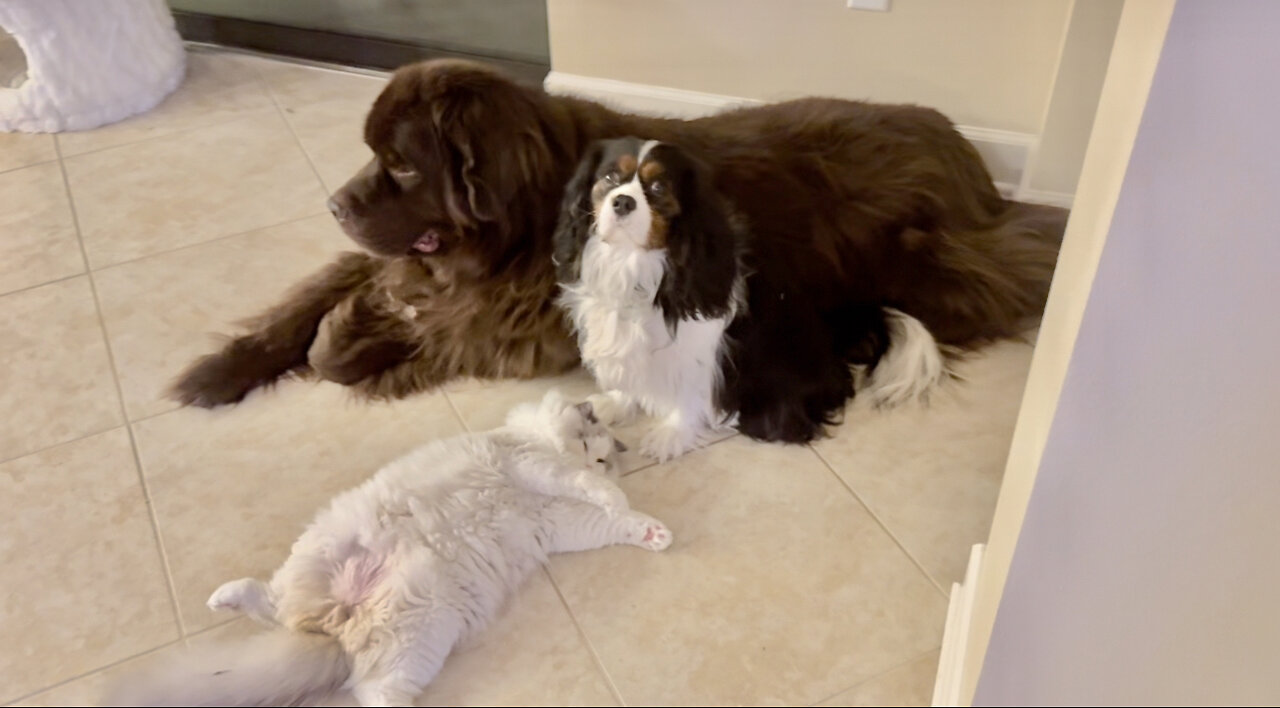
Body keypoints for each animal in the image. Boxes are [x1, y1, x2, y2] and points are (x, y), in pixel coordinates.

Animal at [107, 389, 670, 701]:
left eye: (605, 454)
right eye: (590, 443)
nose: (600, 458)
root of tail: (338, 629)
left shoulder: (557, 522)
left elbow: (610, 521)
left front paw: (653, 531)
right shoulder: (533, 464)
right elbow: (581, 486)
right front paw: (613, 493)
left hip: (418, 633)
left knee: (330, 656)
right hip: (339, 566)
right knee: (282, 615)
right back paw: (223, 598)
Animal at [172, 60, 1070, 412]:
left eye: (400, 165)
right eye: (371, 156)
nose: (334, 204)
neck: (510, 231)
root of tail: (970, 160)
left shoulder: (514, 326)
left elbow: (359, 347)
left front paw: (351, 343)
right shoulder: (399, 266)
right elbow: (312, 301)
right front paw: (220, 370)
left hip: (930, 261)